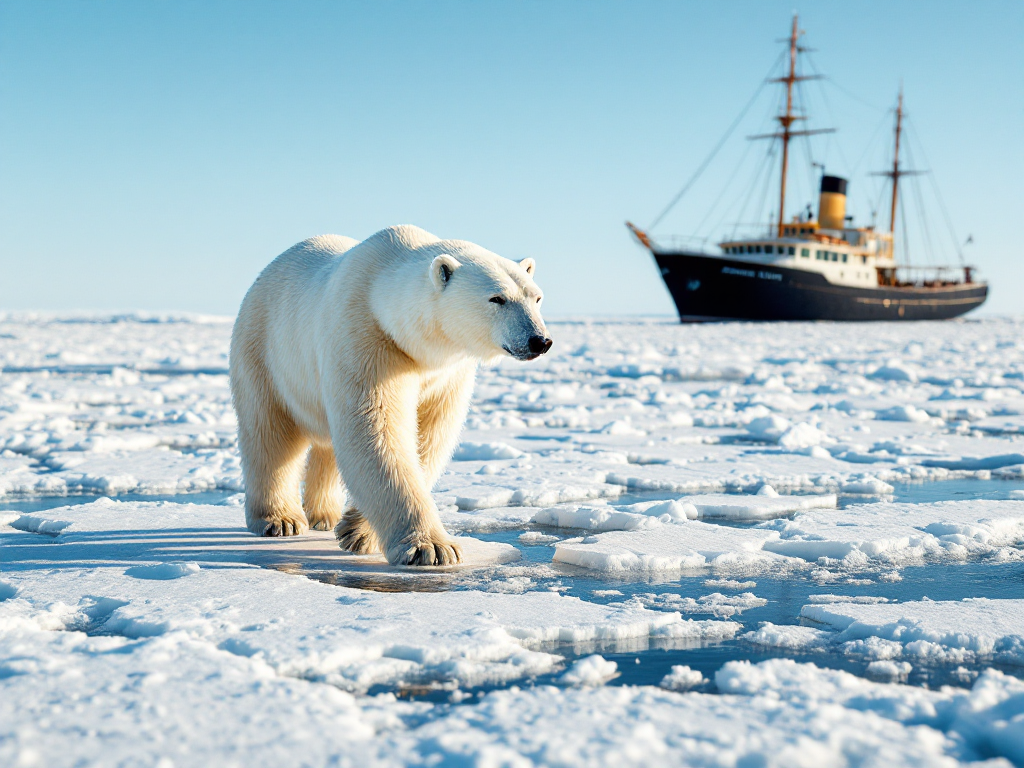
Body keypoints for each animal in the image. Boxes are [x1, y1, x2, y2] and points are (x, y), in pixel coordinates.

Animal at [229, 225, 552, 566]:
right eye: (497, 298)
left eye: (536, 297)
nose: (539, 340)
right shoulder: (367, 339)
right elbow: (377, 431)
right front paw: (431, 548)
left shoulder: (446, 373)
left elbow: (429, 436)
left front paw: (357, 530)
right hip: (265, 348)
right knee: (270, 433)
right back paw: (280, 520)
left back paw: (324, 515)